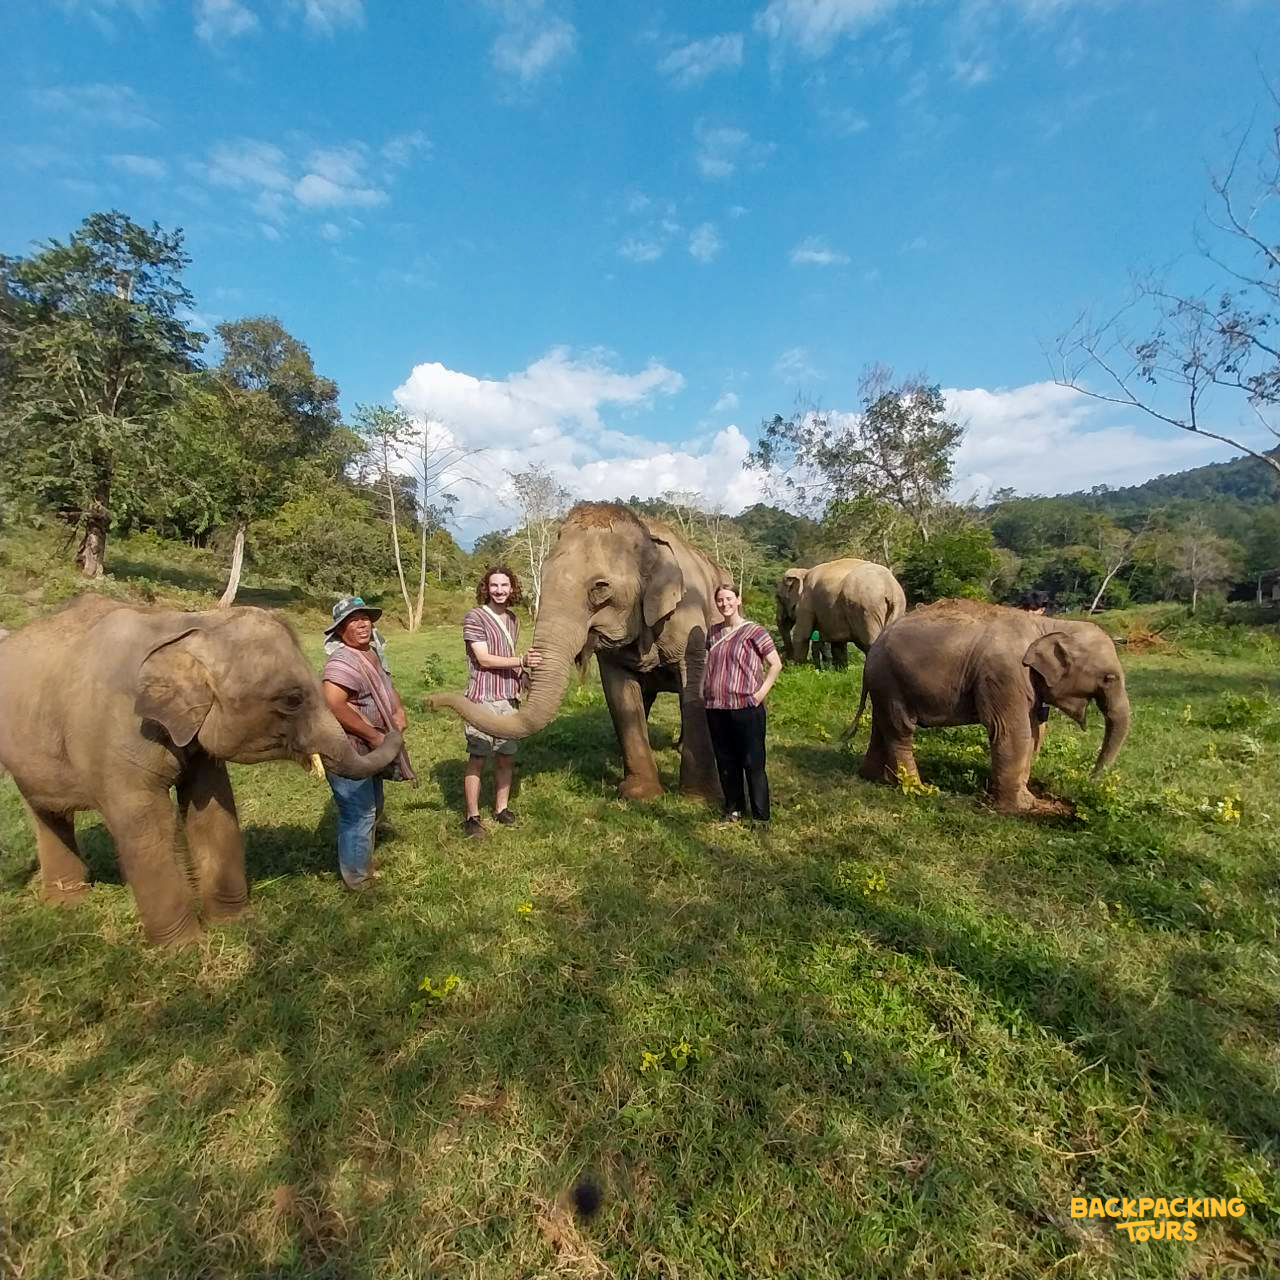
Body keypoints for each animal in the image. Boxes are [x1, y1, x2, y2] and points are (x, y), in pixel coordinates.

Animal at [0, 596, 403, 944]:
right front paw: (183, 948)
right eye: (291, 699)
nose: (394, 723)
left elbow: (211, 806)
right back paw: (68, 902)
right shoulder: (112, 734)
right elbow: (146, 822)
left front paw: (235, 924)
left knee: (48, 813)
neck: (185, 626)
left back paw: (66, 901)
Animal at [430, 502, 724, 800]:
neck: (647, 533)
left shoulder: (690, 618)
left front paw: (698, 798)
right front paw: (639, 795)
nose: (430, 701)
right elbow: (621, 695)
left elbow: (693, 687)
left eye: (600, 587)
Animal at [776, 558, 907, 668]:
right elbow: (838, 642)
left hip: (866, 609)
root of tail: (890, 586)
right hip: (897, 607)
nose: (787, 662)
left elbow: (802, 634)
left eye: (778, 598)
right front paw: (840, 670)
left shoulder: (806, 603)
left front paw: (798, 668)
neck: (803, 572)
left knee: (870, 642)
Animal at [851, 599, 1130, 813]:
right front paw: (1017, 809)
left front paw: (1029, 800)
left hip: (885, 683)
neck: (1050, 626)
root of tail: (875, 646)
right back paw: (919, 789)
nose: (1089, 781)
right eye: (1109, 678)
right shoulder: (1004, 674)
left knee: (882, 725)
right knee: (900, 729)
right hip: (891, 680)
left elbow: (1034, 733)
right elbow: (1013, 732)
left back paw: (876, 778)